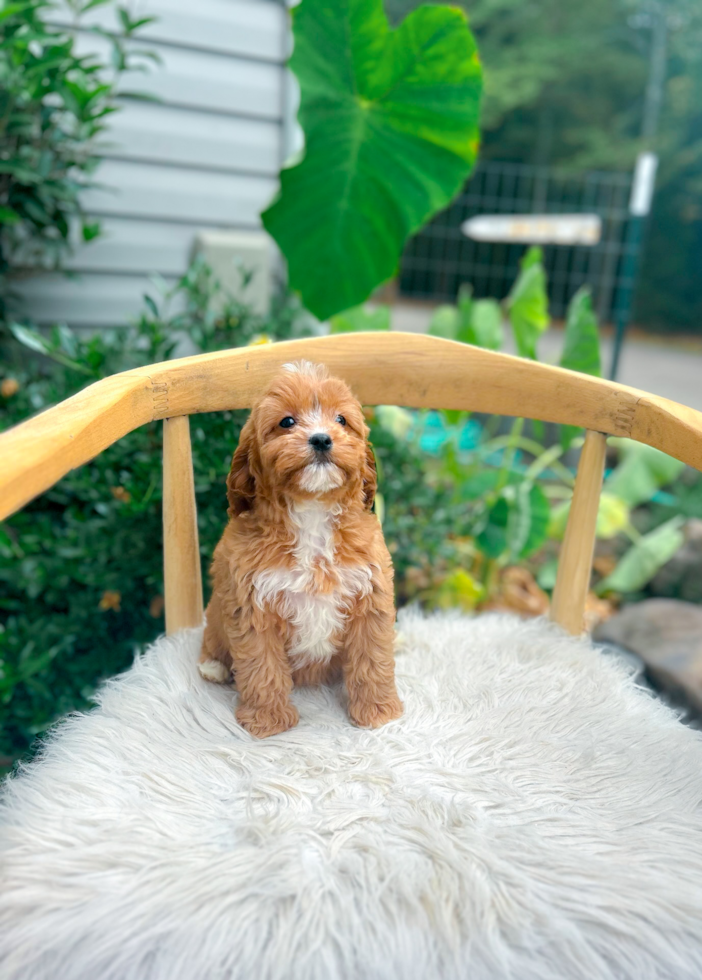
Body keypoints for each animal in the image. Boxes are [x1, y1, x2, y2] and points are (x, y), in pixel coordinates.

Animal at [201, 358, 404, 736]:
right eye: (287, 422)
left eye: (341, 420)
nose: (322, 438)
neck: (312, 511)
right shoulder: (252, 604)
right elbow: (261, 666)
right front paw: (268, 721)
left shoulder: (371, 594)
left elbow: (373, 659)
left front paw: (378, 712)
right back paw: (213, 666)